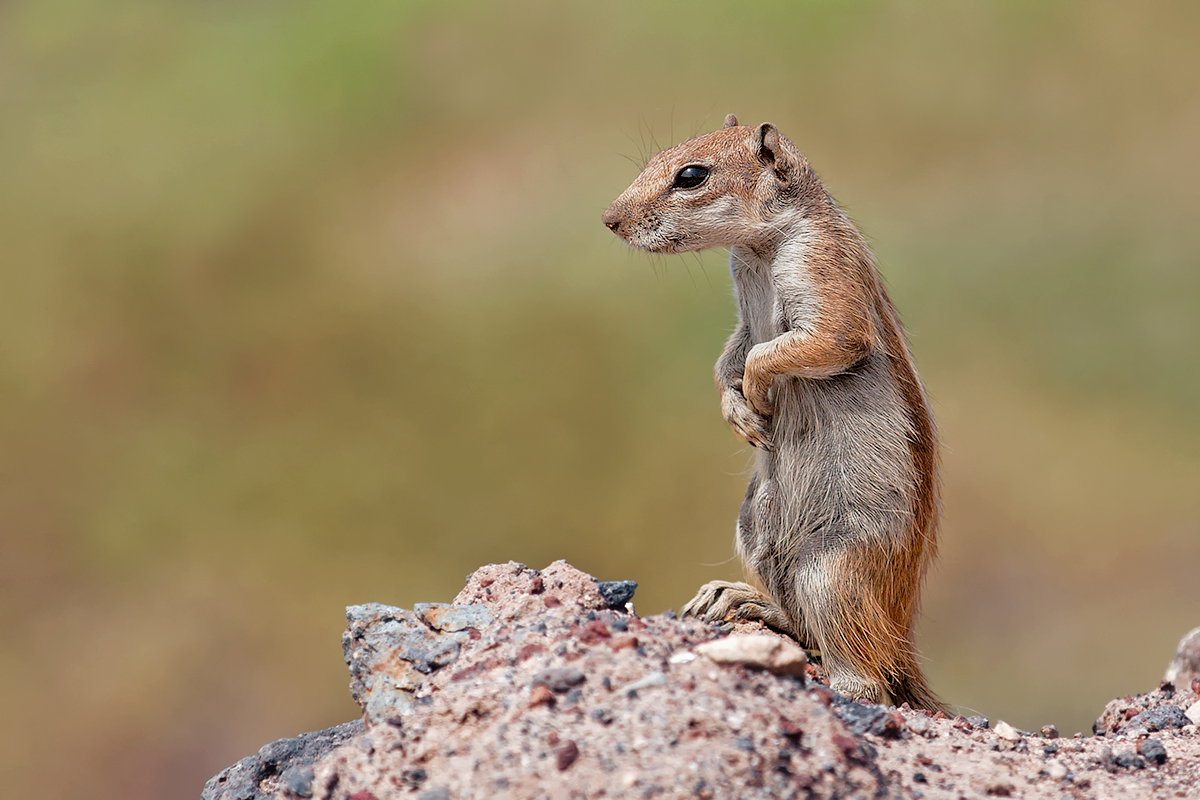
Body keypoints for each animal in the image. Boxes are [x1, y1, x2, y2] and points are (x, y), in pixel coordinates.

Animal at [604, 115, 940, 710]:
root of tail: (901, 637)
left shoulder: (825, 279)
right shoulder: (742, 317)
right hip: (754, 529)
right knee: (801, 624)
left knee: (869, 676)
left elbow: (790, 347)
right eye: (658, 158)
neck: (758, 249)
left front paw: (759, 398)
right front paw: (737, 411)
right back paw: (740, 600)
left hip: (832, 571)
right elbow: (731, 355)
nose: (610, 219)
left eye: (690, 176)